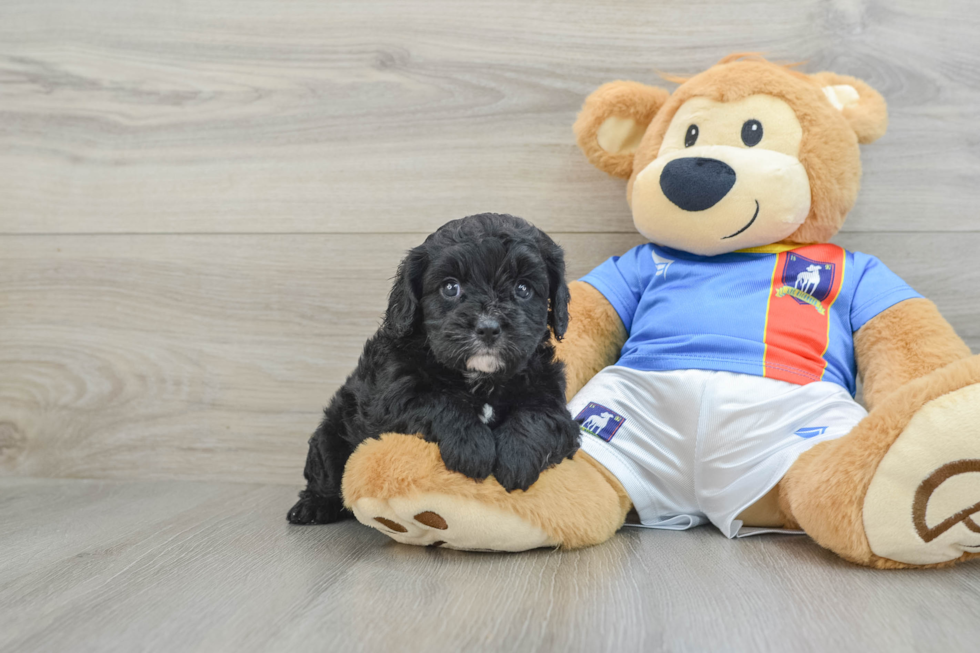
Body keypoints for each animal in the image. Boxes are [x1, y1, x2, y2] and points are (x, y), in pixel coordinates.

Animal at [290, 214, 580, 524]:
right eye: (450, 287)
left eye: (523, 289)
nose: (488, 328)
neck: (480, 378)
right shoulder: (392, 395)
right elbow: (435, 402)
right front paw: (473, 447)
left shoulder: (551, 396)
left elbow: (539, 415)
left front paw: (518, 457)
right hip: (332, 431)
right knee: (327, 473)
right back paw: (313, 505)